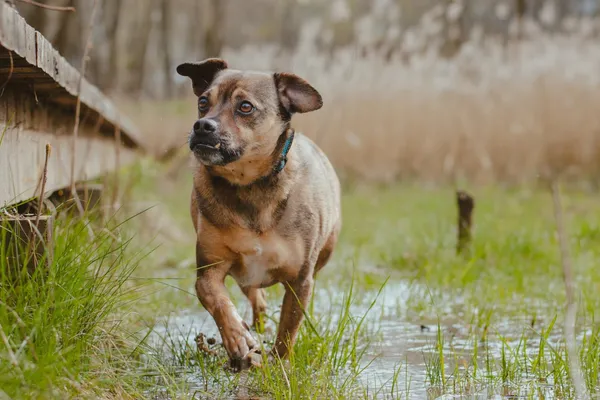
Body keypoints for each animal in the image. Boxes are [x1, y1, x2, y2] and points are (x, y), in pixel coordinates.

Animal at [176, 57, 340, 370]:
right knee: (255, 296)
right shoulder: (208, 270)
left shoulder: (300, 281)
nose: (202, 125)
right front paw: (237, 337)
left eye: (245, 107)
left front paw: (280, 364)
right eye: (203, 102)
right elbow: (215, 298)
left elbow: (288, 328)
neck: (248, 185)